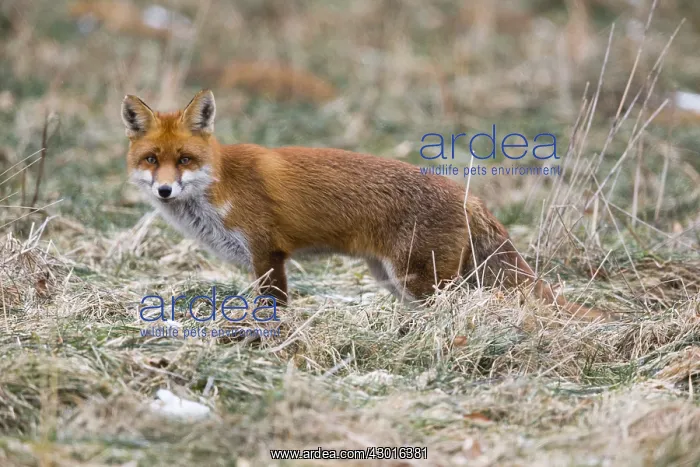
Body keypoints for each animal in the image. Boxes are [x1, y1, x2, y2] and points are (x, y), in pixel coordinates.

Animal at [122, 89, 615, 322]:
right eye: (151, 160)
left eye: (185, 160)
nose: (164, 191)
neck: (219, 186)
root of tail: (469, 195)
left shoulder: (268, 253)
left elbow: (274, 305)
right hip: (397, 279)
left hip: (421, 280)